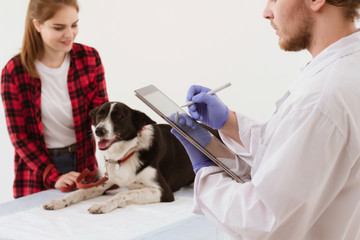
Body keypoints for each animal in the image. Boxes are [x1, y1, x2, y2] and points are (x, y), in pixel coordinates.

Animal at [43, 101, 194, 214]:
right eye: (100, 115)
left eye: (119, 116)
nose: (98, 131)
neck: (126, 153)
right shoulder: (103, 183)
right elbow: (79, 192)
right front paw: (57, 201)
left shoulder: (163, 191)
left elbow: (122, 194)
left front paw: (102, 205)